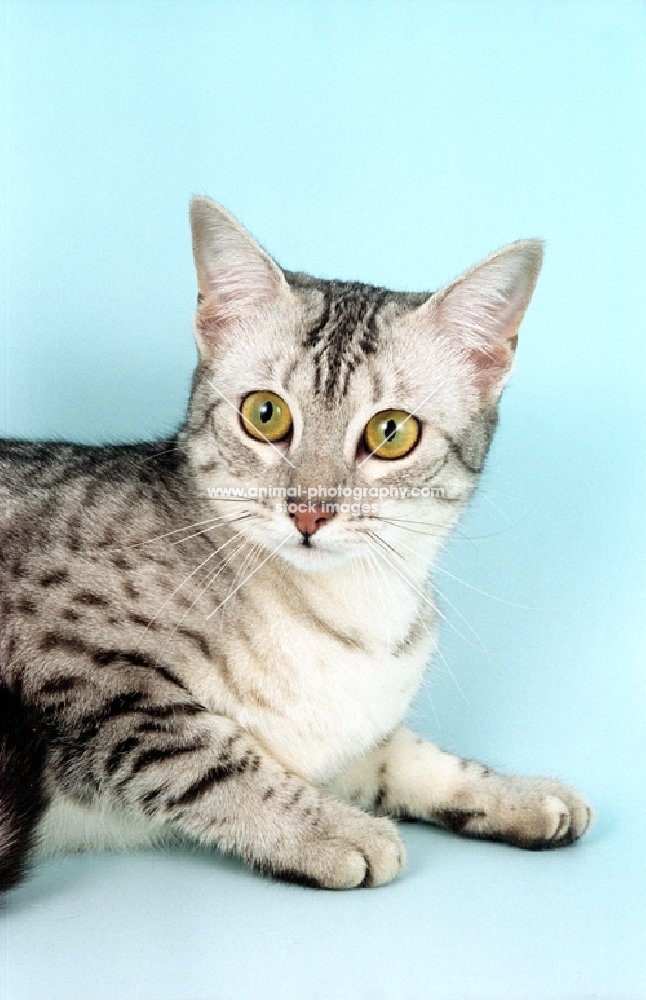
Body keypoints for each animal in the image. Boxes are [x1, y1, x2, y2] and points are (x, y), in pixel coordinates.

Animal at [0, 197, 596, 892]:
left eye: (391, 432)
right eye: (265, 414)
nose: (310, 510)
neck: (349, 617)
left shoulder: (345, 734)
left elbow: (399, 751)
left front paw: (513, 793)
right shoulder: (75, 663)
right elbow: (208, 754)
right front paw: (328, 829)